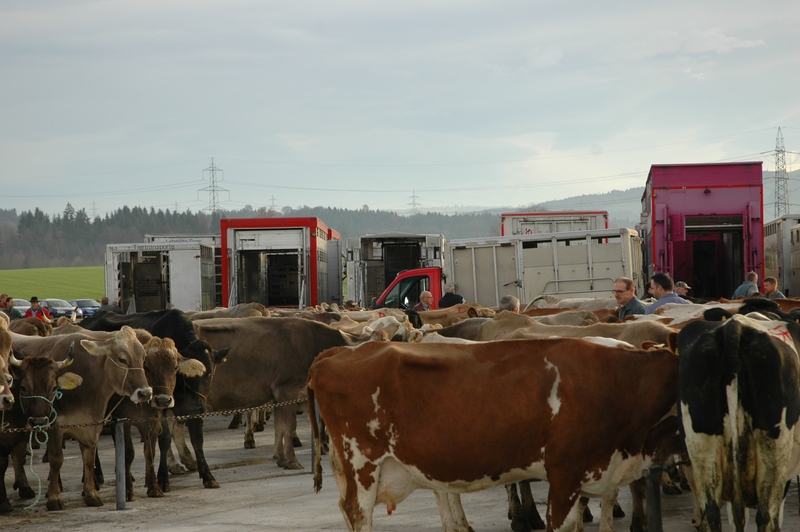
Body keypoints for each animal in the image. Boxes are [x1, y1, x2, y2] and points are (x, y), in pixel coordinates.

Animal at [11, 327, 153, 510]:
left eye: (143, 358)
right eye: (122, 359)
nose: (145, 393)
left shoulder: (91, 426)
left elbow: (89, 460)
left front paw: (91, 494)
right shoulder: (54, 426)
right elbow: (56, 460)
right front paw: (54, 498)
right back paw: (25, 487)